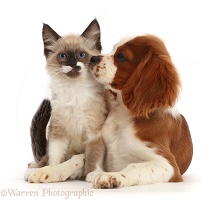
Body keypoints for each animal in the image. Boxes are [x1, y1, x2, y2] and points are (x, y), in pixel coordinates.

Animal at [25, 19, 107, 183]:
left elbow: (93, 157)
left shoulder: (94, 133)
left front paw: (93, 174)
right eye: (62, 56)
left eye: (81, 55)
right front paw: (50, 171)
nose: (73, 64)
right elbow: (55, 159)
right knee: (44, 159)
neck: (74, 91)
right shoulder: (58, 133)